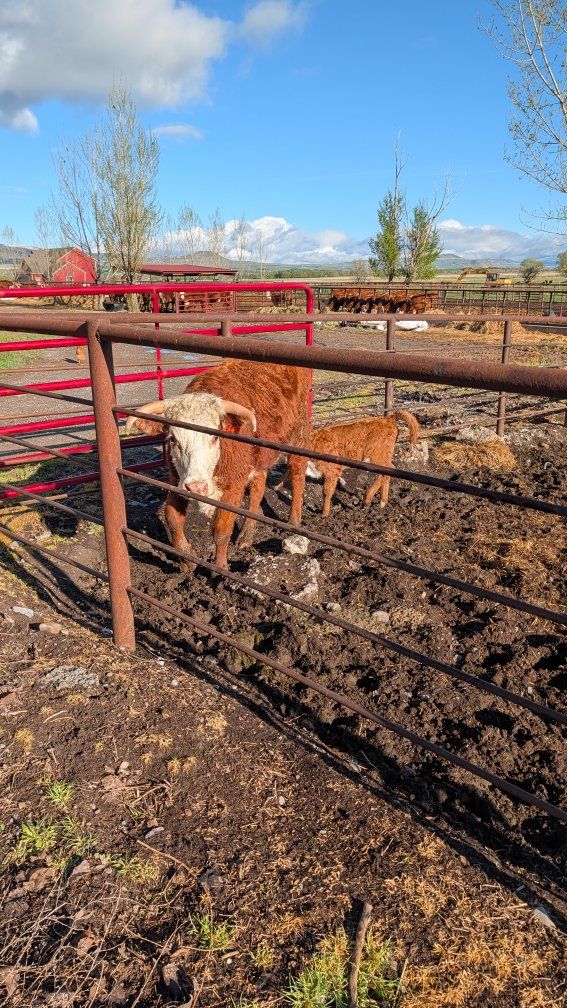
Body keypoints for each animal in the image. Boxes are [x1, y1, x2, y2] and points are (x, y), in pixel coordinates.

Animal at [125, 359, 310, 569]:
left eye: (214, 437)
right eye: (173, 439)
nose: (197, 487)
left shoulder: (234, 486)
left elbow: (221, 528)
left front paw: (219, 567)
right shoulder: (176, 481)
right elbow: (172, 519)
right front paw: (187, 558)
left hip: (298, 436)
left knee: (297, 474)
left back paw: (294, 520)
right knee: (258, 485)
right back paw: (247, 534)